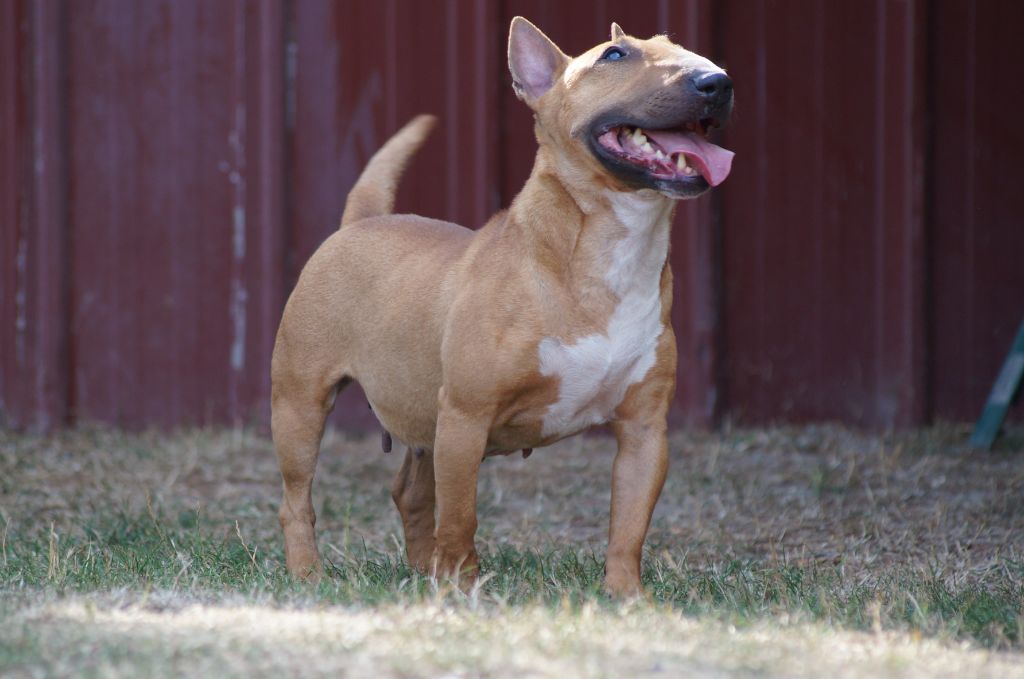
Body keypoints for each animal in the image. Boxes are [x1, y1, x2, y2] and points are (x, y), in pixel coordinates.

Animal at [270, 15, 737, 593]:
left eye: (680, 46)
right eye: (614, 55)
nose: (717, 82)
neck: (605, 253)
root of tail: (362, 220)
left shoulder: (645, 429)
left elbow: (628, 526)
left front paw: (626, 596)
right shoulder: (466, 416)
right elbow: (461, 517)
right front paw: (462, 589)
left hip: (424, 419)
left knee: (412, 495)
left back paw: (421, 573)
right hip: (301, 405)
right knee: (298, 500)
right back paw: (309, 574)